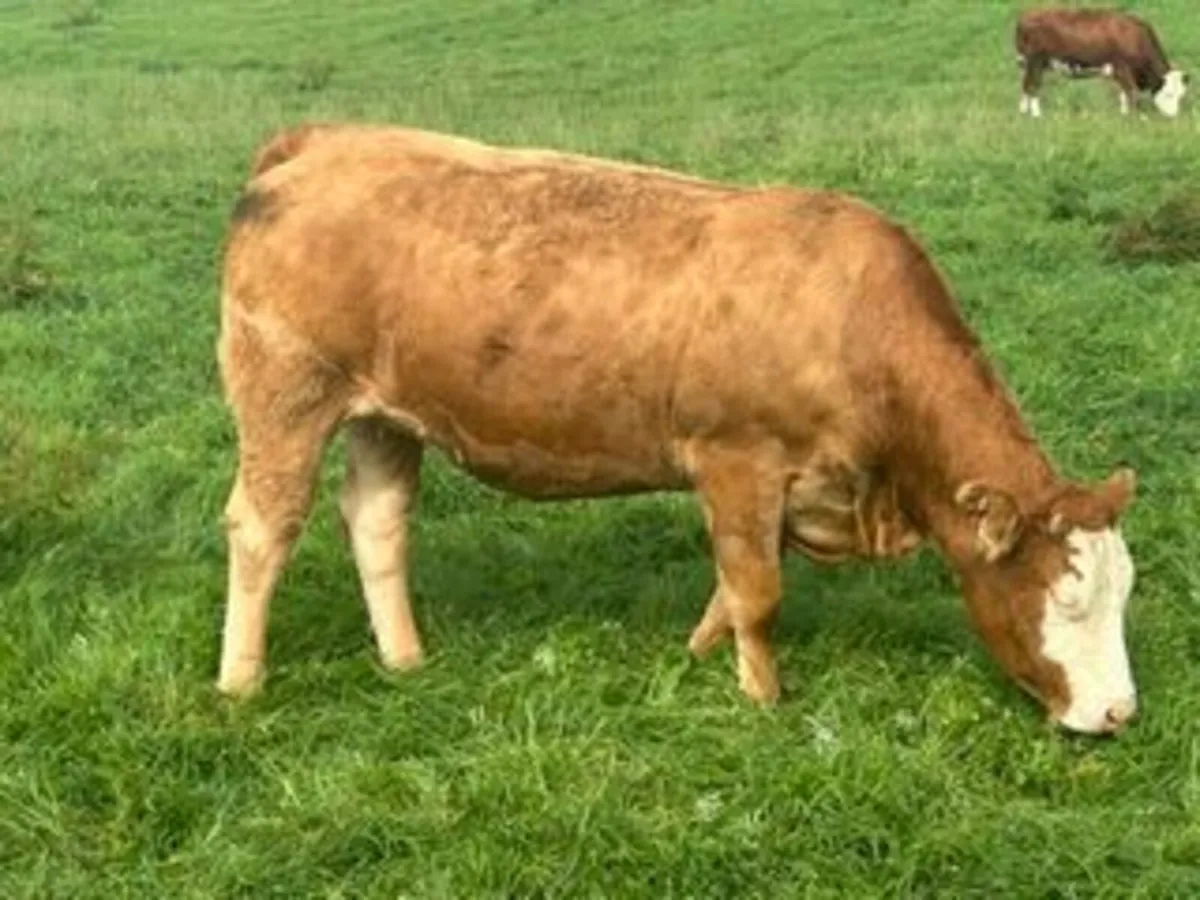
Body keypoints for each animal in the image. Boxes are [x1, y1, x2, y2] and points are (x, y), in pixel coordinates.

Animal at [215, 122, 1140, 734]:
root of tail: (326, 141)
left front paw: (699, 653)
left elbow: (736, 582)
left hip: (384, 414)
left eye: (1125, 591)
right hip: (286, 393)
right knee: (263, 527)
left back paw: (406, 661)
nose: (1120, 712)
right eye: (1065, 596)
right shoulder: (737, 458)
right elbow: (759, 592)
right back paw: (240, 682)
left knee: (376, 521)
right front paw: (762, 698)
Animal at [1016, 7, 1188, 117]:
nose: (1173, 116)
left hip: (1029, 64)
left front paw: (1123, 115)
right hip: (1036, 61)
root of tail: (1027, 16)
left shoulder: (1120, 72)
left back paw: (1024, 112)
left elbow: (1123, 94)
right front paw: (1133, 118)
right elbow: (1131, 93)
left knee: (1025, 85)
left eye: (1181, 96)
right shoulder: (1123, 67)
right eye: (1169, 94)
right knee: (1033, 86)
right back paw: (1037, 114)